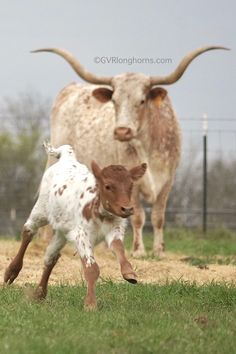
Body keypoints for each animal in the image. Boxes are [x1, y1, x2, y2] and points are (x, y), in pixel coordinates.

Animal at [4, 142, 146, 308]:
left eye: (131, 186)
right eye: (108, 186)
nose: (127, 208)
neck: (98, 210)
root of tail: (67, 157)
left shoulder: (115, 229)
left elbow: (119, 249)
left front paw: (128, 272)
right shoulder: (81, 235)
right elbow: (92, 268)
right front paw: (90, 303)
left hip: (61, 231)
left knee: (51, 256)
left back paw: (40, 293)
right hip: (41, 211)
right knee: (28, 231)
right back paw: (12, 271)